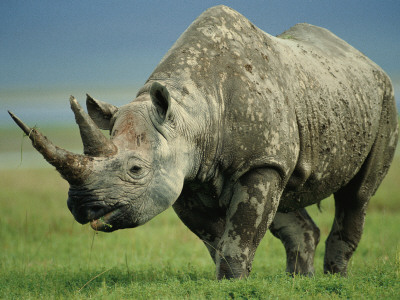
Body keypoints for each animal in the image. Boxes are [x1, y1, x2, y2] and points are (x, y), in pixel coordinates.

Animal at [8, 5, 396, 278]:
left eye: (135, 169)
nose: (81, 206)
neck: (189, 114)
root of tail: (363, 59)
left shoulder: (258, 162)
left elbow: (241, 232)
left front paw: (234, 282)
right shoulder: (184, 174)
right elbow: (219, 238)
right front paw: (226, 281)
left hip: (382, 97)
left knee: (357, 195)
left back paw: (334, 280)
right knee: (287, 195)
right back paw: (300, 282)